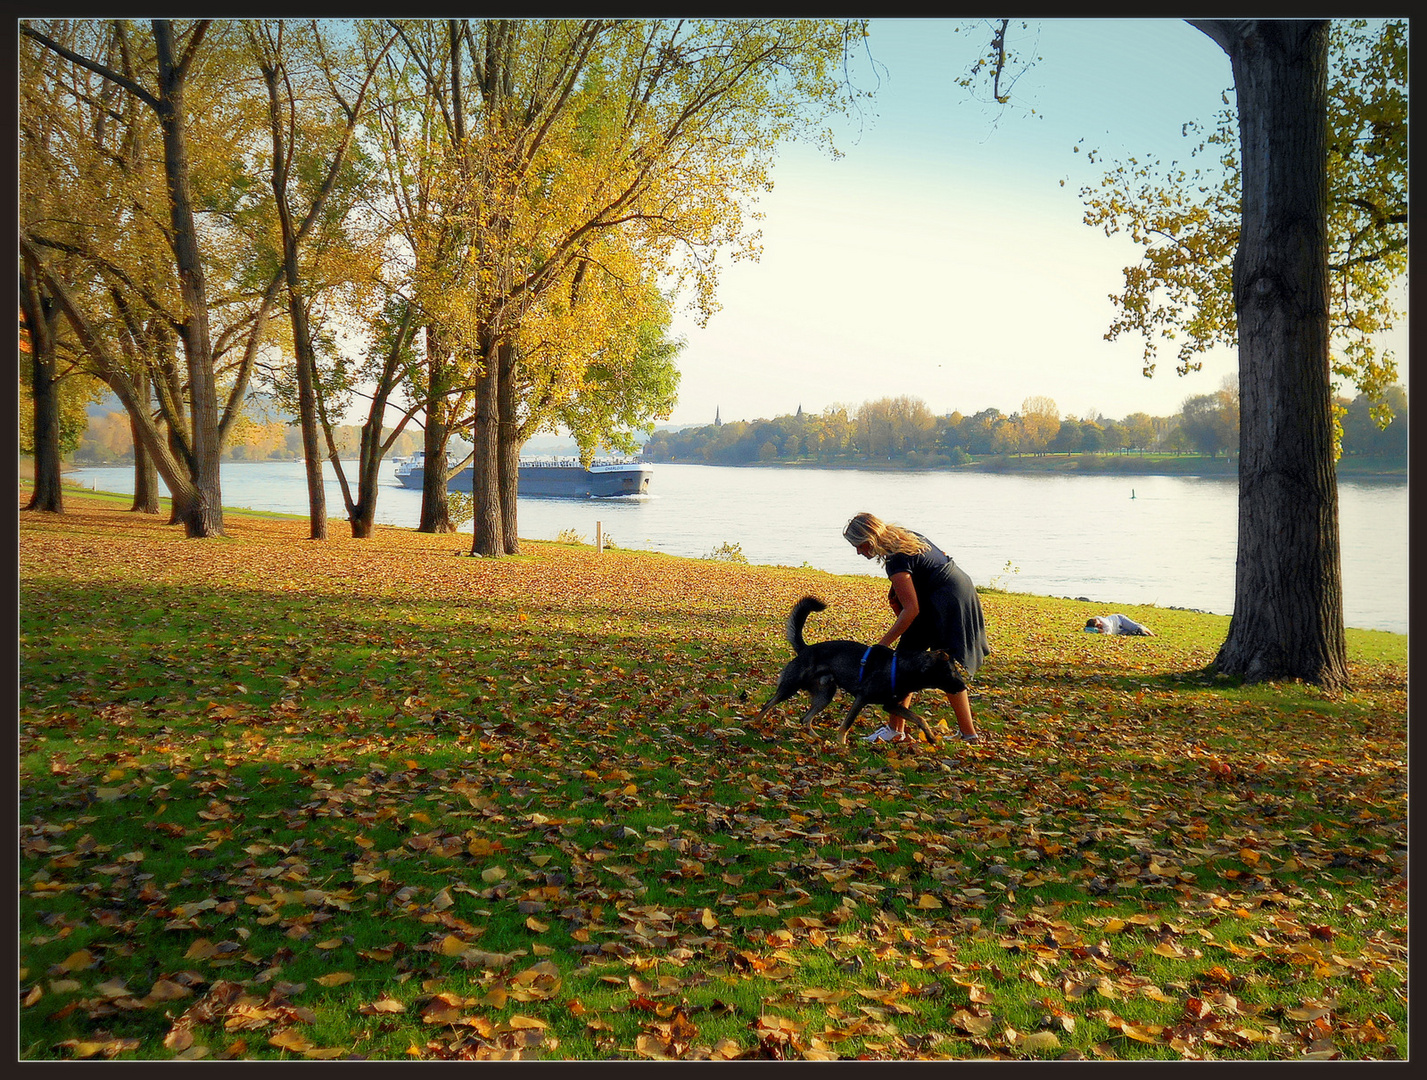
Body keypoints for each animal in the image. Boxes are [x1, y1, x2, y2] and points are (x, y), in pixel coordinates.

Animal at [753, 593, 964, 747]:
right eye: (950, 672)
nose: (964, 688)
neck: (901, 669)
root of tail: (806, 649)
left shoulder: (892, 705)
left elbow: (920, 718)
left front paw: (931, 737)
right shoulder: (861, 699)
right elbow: (846, 725)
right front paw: (841, 745)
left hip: (825, 695)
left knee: (805, 719)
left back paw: (817, 738)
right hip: (790, 687)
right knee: (768, 705)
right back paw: (754, 724)